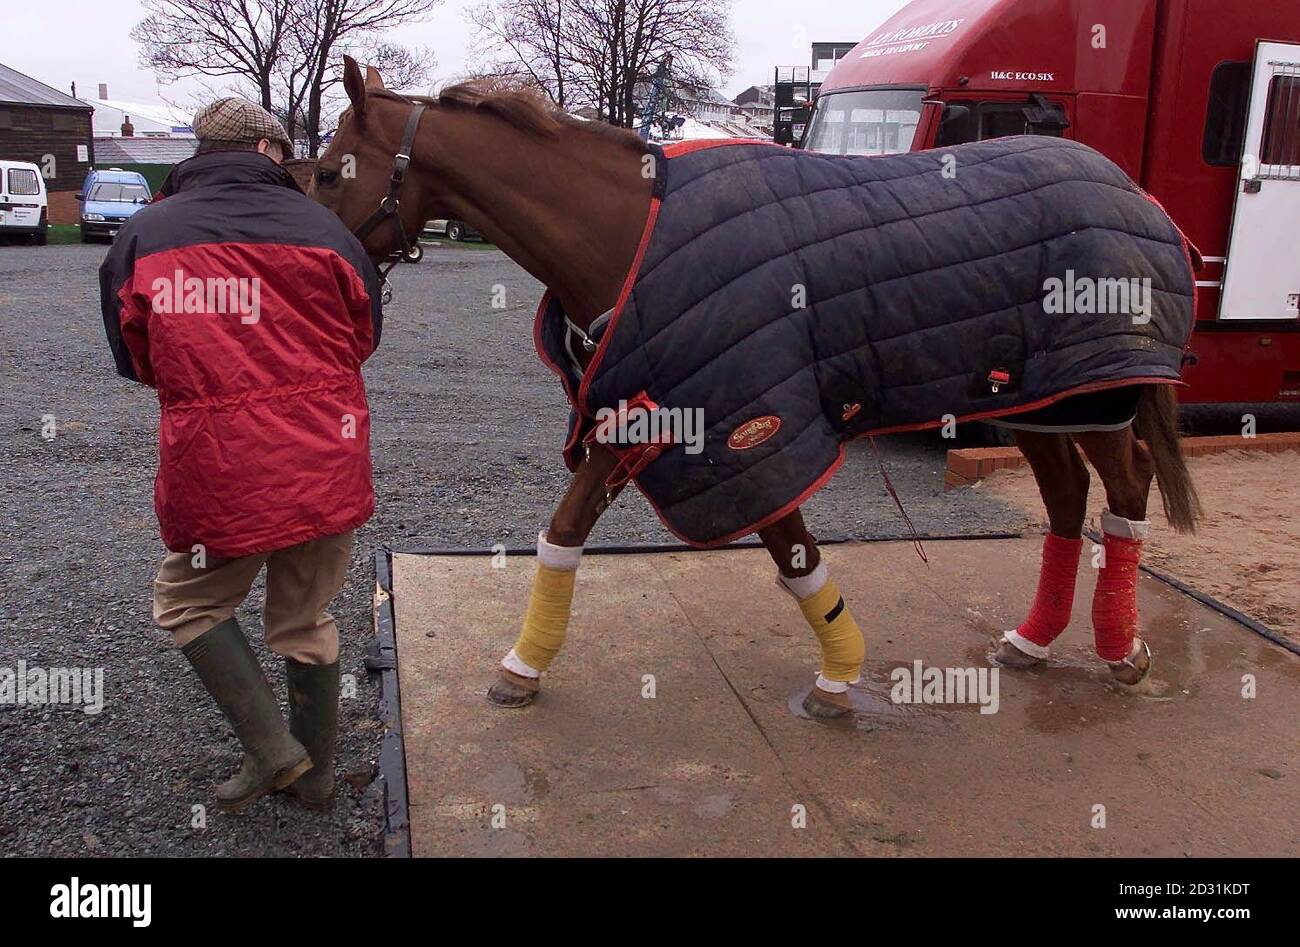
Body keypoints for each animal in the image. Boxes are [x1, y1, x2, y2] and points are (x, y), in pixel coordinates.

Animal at [312, 57, 1196, 718]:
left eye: (326, 171)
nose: (327, 266)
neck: (636, 235)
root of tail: (1134, 192)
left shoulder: (747, 417)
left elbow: (791, 544)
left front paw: (838, 674)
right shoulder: (651, 413)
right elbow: (565, 532)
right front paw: (523, 665)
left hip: (1093, 400)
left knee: (1124, 492)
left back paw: (1122, 650)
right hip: (1036, 402)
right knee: (1068, 500)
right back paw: (1035, 640)